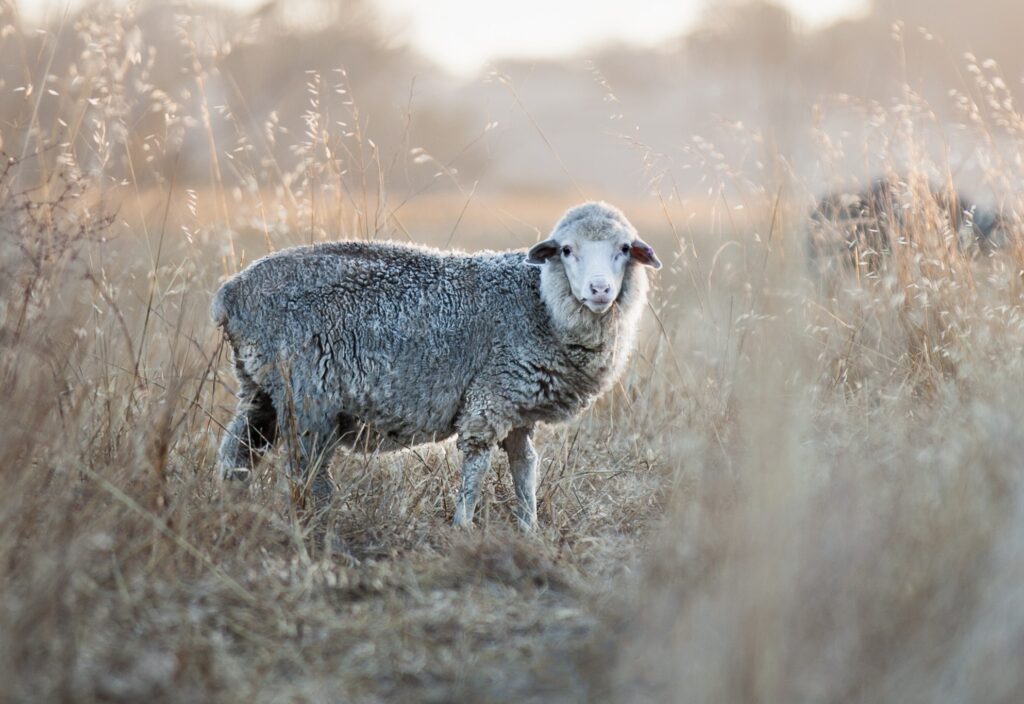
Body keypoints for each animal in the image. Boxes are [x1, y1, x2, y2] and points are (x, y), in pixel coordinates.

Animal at [211, 201, 662, 530]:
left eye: (624, 249)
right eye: (567, 250)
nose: (600, 289)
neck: (540, 302)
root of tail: (230, 294)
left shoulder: (517, 406)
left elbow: (524, 468)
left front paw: (529, 529)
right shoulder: (491, 397)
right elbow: (477, 465)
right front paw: (462, 527)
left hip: (259, 389)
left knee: (236, 456)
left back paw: (229, 510)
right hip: (306, 397)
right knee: (308, 471)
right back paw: (318, 523)